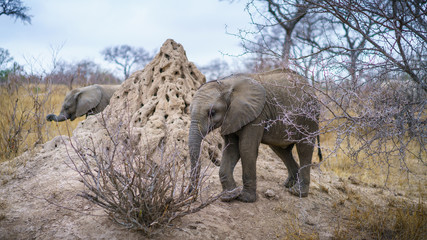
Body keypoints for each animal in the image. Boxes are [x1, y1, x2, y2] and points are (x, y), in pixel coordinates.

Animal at [189, 68, 322, 202]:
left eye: (212, 112)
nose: (192, 195)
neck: (226, 83)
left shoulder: (257, 114)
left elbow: (246, 148)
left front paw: (245, 199)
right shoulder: (232, 116)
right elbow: (231, 149)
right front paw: (229, 196)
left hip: (309, 116)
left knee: (304, 148)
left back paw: (297, 192)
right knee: (282, 150)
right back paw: (289, 185)